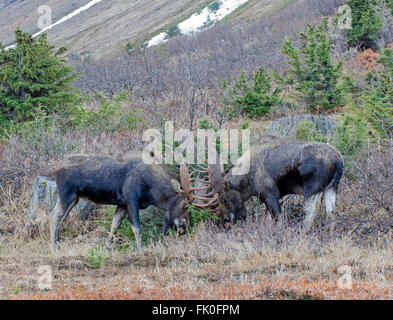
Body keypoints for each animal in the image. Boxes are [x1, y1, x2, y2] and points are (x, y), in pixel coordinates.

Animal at [49, 151, 191, 252]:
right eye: (185, 205)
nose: (184, 228)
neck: (152, 190)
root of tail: (55, 168)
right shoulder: (131, 201)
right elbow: (136, 228)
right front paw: (140, 250)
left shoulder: (121, 204)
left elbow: (114, 226)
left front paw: (106, 249)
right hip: (66, 195)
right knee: (54, 216)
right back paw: (54, 248)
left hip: (74, 198)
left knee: (60, 218)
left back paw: (58, 244)